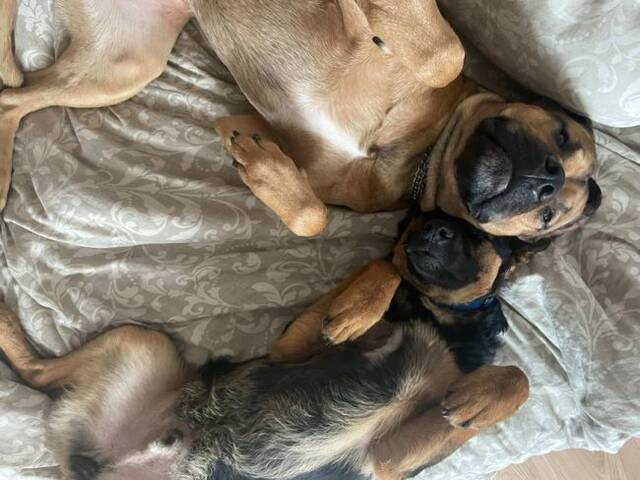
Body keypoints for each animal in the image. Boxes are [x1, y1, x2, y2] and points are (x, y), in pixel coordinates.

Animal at [0, 0, 601, 239]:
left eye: (547, 217)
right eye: (562, 132)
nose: (546, 180)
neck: (419, 152)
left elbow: (312, 216)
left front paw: (264, 170)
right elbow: (444, 55)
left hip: (123, 66)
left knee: (14, 100)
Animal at [0, 211, 531, 480]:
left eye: (479, 233)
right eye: (419, 220)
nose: (424, 231)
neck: (436, 316)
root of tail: (104, 461)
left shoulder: (387, 459)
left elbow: (516, 379)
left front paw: (480, 399)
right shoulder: (292, 349)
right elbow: (384, 268)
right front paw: (360, 307)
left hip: (143, 349)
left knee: (35, 375)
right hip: (145, 342)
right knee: (33, 372)